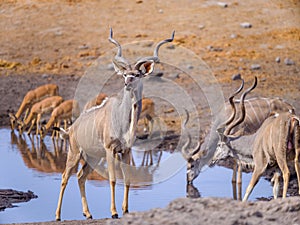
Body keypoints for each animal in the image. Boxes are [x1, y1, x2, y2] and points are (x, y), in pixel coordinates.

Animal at [55, 29, 175, 221]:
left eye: (137, 74)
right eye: (125, 74)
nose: (127, 83)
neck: (124, 122)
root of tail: (71, 129)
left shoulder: (126, 151)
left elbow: (127, 179)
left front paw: (126, 209)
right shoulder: (111, 150)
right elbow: (112, 179)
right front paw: (114, 212)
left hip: (92, 158)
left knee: (81, 176)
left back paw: (88, 214)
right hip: (75, 153)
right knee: (65, 176)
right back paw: (58, 215)